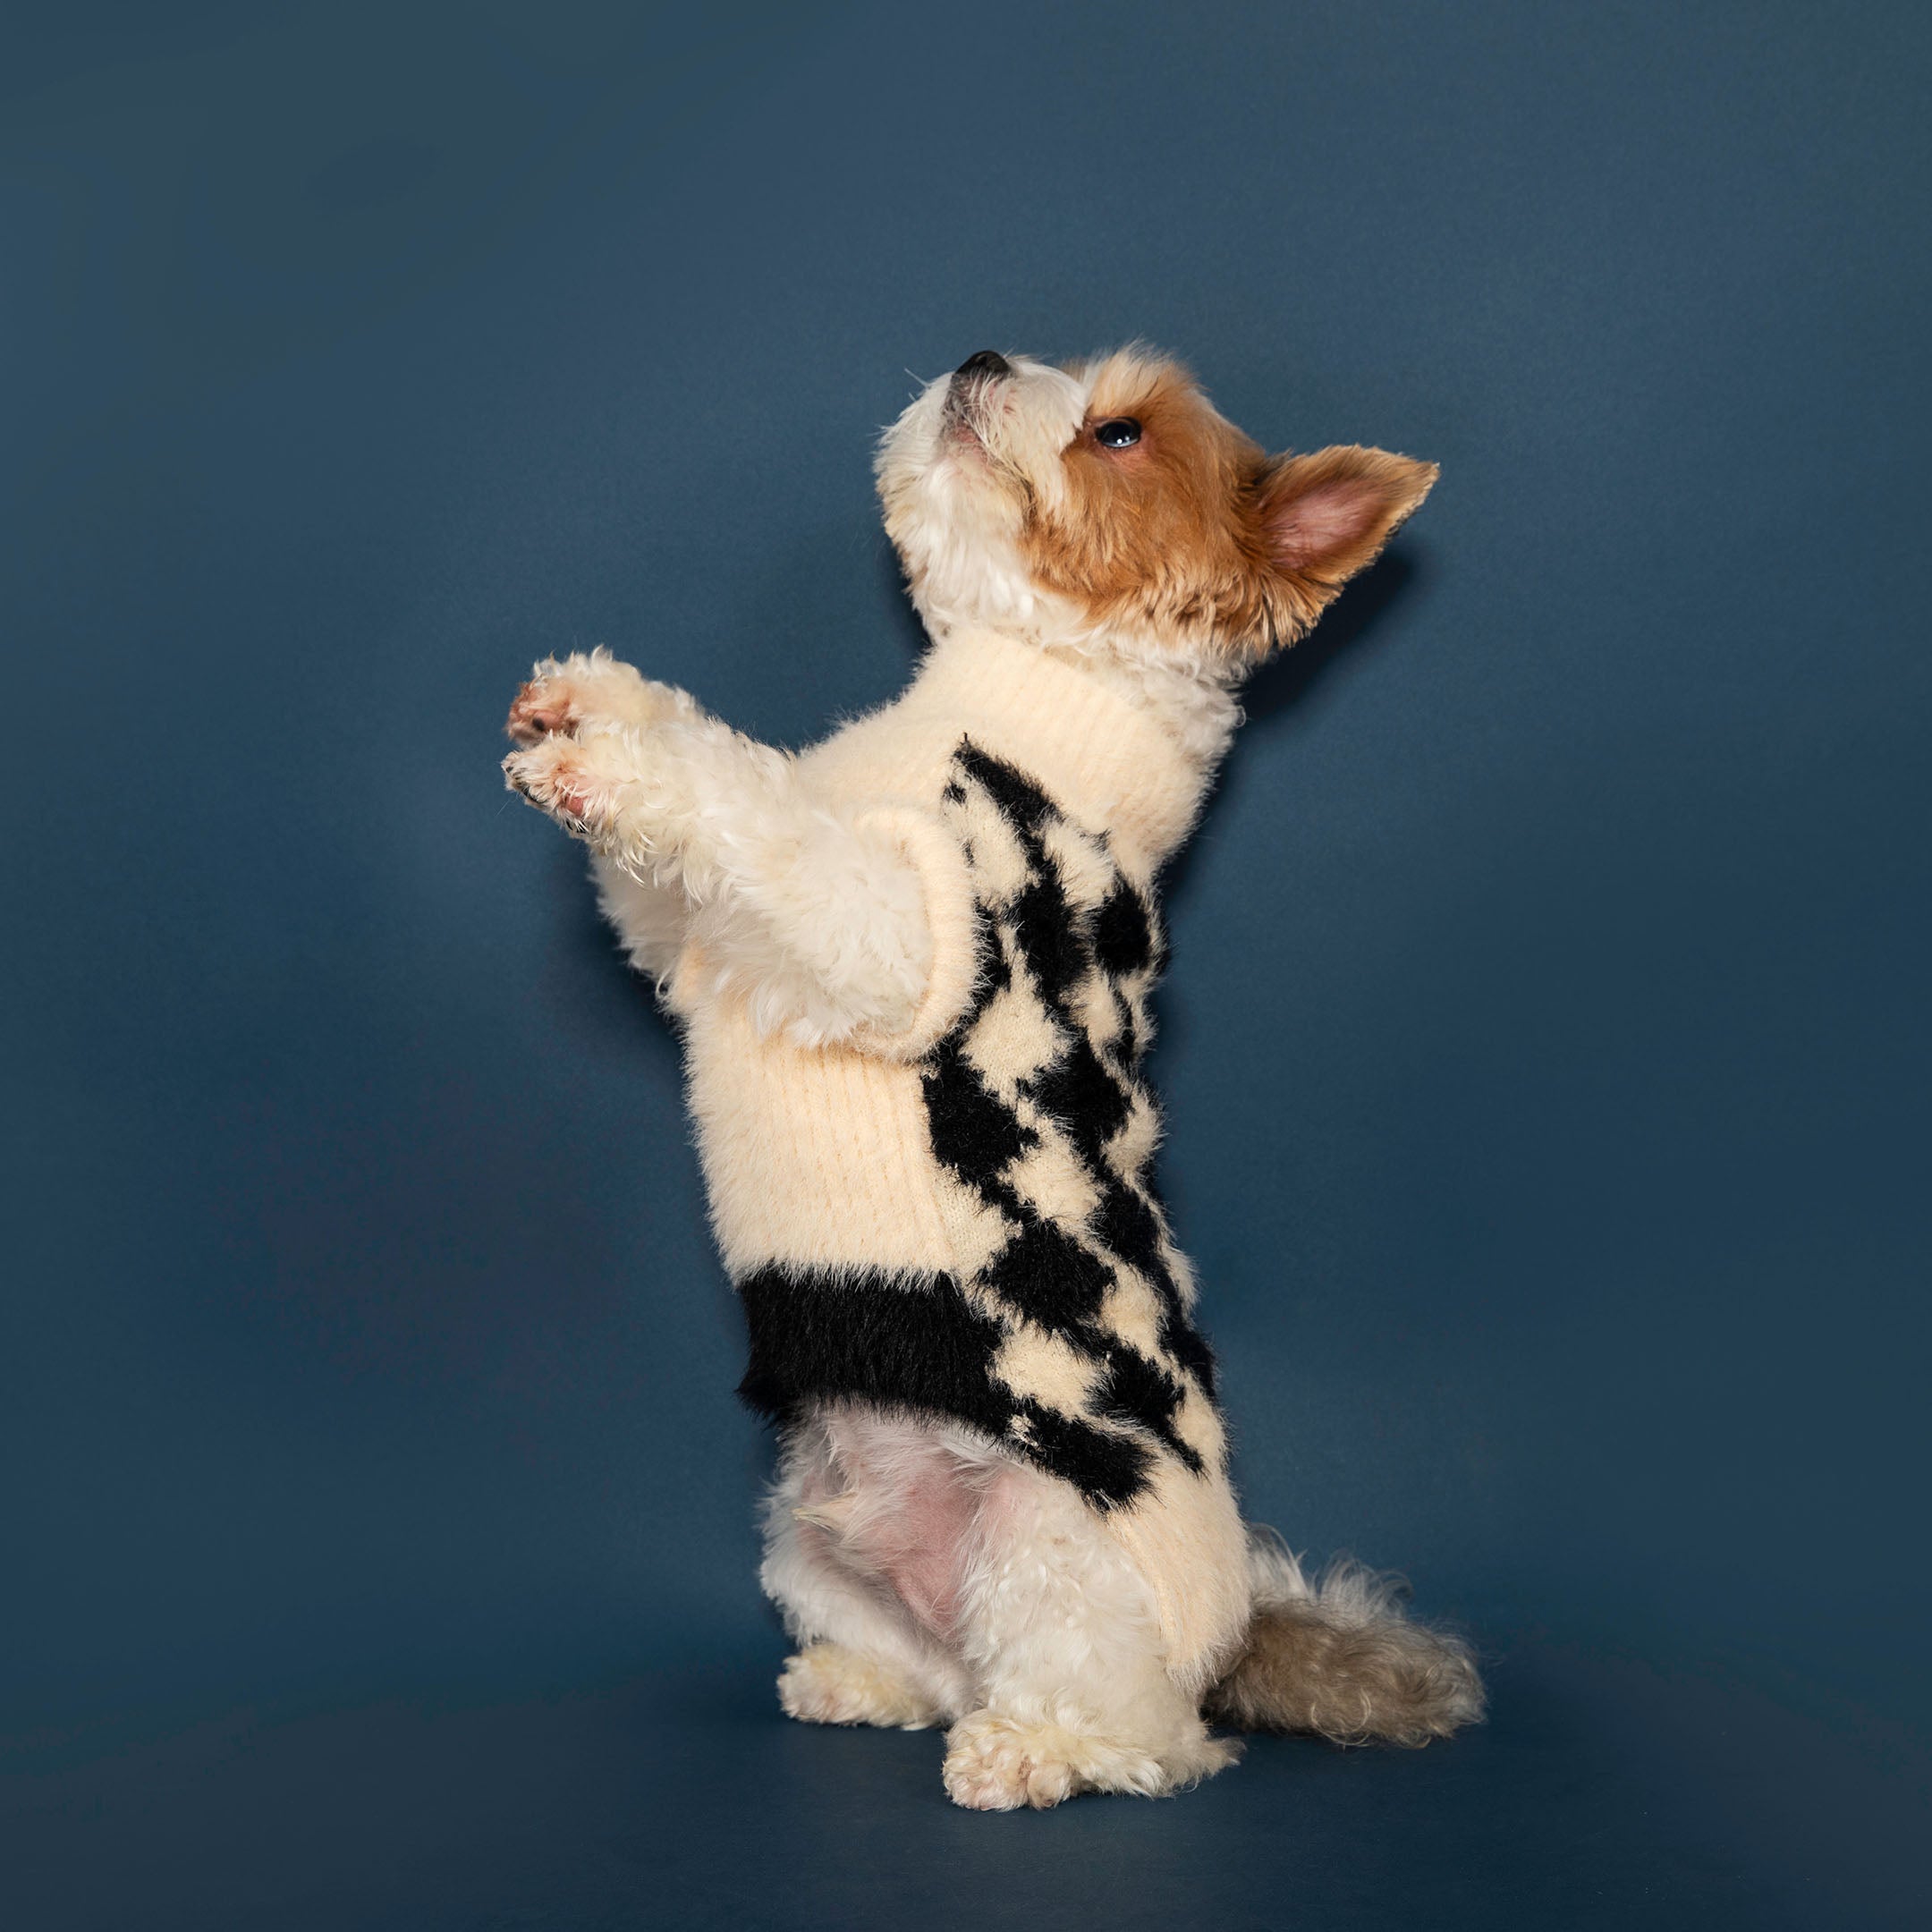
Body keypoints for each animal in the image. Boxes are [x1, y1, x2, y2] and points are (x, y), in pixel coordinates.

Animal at [505, 347, 1483, 1808]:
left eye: (1120, 433)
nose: (982, 359)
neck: (1022, 693)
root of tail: (1234, 1633)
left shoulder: (899, 928)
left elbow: (761, 810)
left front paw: (619, 754)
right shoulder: (687, 939)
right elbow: (677, 871)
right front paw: (593, 708)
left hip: (1055, 1545)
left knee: (1150, 1734)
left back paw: (1035, 1749)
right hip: (806, 1528)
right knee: (925, 1660)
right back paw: (866, 1680)